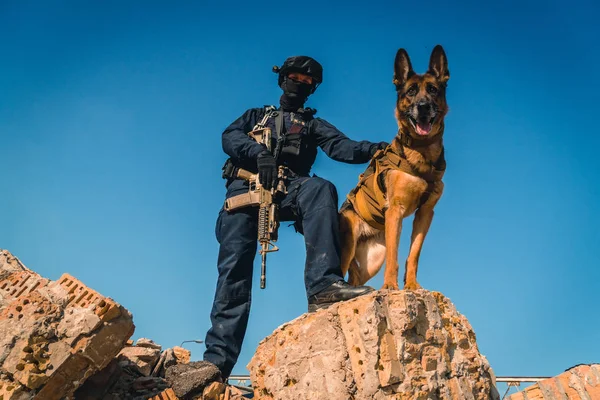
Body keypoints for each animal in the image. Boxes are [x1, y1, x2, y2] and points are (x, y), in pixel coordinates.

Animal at [342, 45, 450, 290]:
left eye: (432, 90)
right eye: (410, 91)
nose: (423, 107)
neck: (421, 152)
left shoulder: (425, 213)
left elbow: (414, 254)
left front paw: (412, 285)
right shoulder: (395, 211)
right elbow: (395, 255)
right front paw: (391, 286)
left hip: (372, 261)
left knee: (355, 279)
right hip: (346, 248)